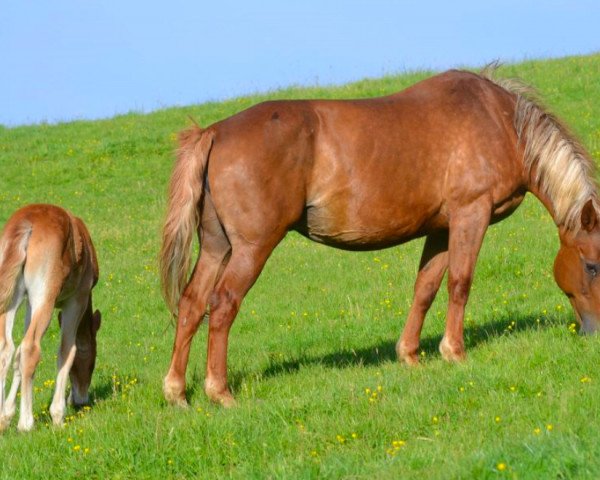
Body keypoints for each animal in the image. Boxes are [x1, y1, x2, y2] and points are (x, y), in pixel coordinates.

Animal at [0, 203, 100, 432]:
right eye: (92, 362)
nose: (81, 400)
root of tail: (26, 223)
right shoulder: (77, 300)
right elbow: (68, 351)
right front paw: (58, 415)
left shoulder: (30, 303)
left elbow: (17, 355)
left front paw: (6, 415)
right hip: (45, 297)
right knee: (31, 347)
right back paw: (26, 423)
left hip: (12, 297)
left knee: (7, 348)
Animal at [159, 66, 600, 404]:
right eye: (592, 266)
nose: (594, 332)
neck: (498, 120)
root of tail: (214, 132)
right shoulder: (469, 215)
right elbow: (460, 283)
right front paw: (454, 352)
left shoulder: (441, 228)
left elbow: (425, 288)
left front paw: (410, 356)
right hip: (252, 248)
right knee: (223, 305)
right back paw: (220, 392)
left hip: (217, 247)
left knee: (192, 303)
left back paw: (178, 392)